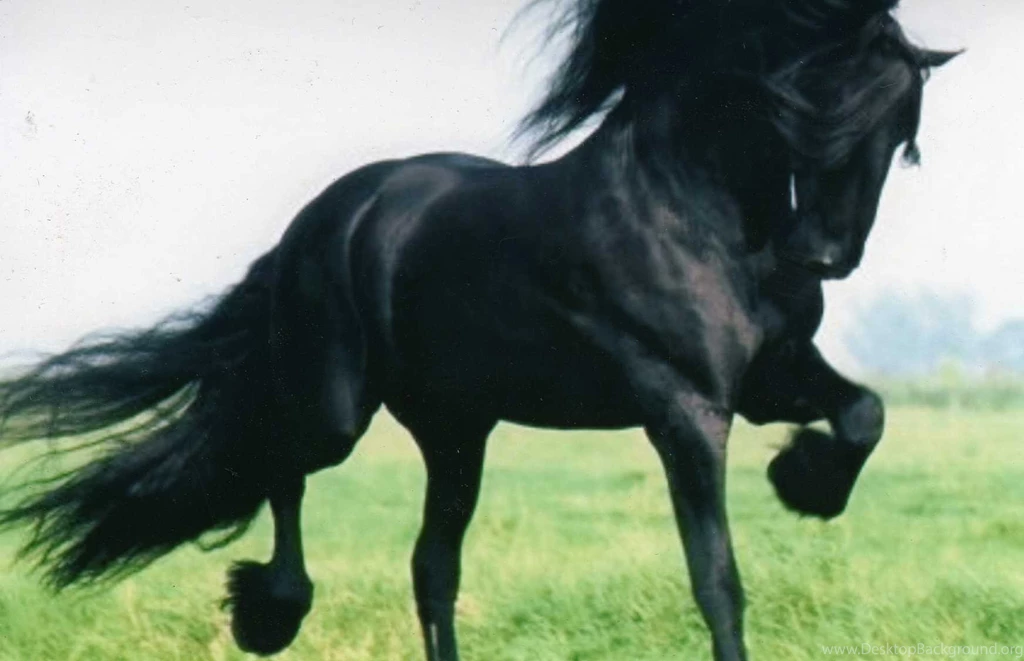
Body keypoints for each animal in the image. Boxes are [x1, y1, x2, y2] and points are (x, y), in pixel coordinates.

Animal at [0, 1, 957, 659]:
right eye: (811, 102)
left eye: (903, 132)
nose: (824, 256)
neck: (692, 209)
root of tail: (325, 220)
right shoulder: (684, 406)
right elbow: (716, 577)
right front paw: (800, 483)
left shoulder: (771, 375)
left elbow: (865, 413)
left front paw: (806, 481)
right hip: (336, 411)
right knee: (278, 462)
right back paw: (272, 610)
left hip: (457, 429)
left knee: (431, 567)